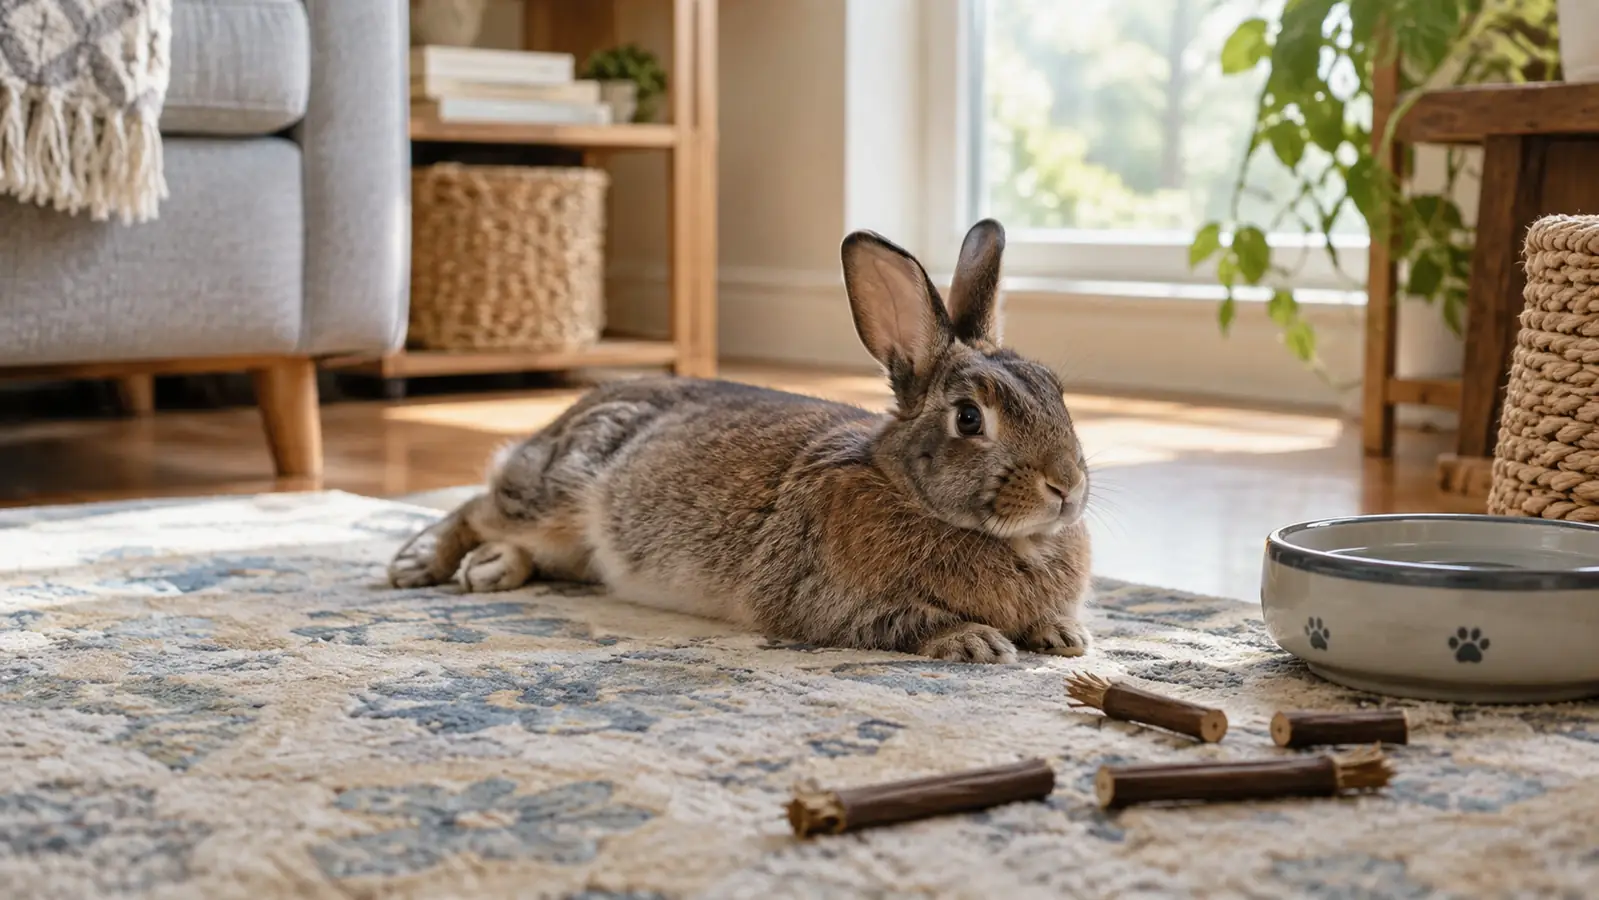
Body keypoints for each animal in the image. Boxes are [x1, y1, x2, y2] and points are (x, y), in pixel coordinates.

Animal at [388, 219, 1093, 663]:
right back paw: (418, 563)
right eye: (969, 419)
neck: (906, 488)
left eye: (1056, 389)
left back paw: (490, 568)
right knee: (478, 504)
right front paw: (975, 642)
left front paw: (1065, 637)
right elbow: (905, 622)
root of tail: (571, 412)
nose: (1066, 487)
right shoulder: (828, 604)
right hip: (560, 485)